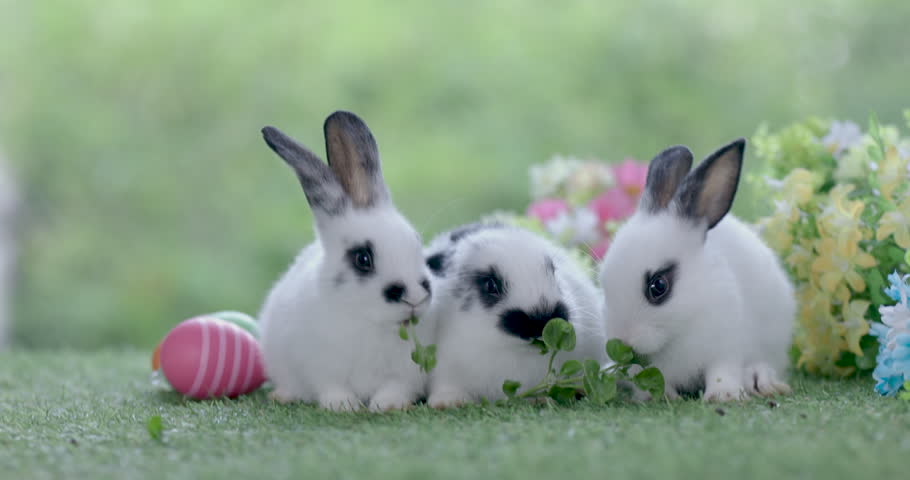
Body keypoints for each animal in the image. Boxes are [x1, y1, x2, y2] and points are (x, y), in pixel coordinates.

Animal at [257, 111, 433, 412]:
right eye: (363, 258)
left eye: (416, 242)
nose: (414, 298)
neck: (367, 321)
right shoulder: (319, 368)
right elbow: (332, 388)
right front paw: (344, 406)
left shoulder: (406, 374)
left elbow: (396, 388)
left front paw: (385, 405)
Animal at [598, 138, 795, 403]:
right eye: (603, 282)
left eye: (658, 286)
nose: (623, 340)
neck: (681, 326)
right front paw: (659, 397)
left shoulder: (726, 345)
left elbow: (722, 371)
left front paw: (723, 396)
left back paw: (760, 381)